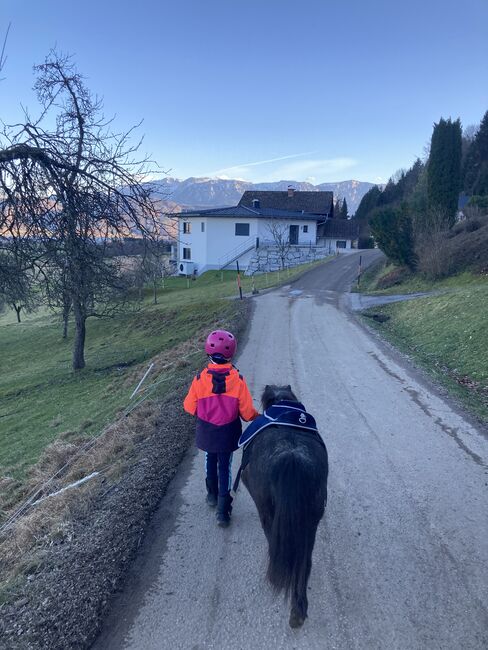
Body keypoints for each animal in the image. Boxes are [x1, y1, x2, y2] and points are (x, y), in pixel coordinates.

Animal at [241, 382, 328, 624]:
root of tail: (292, 458)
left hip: (267, 511)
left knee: (274, 541)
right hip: (311, 520)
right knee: (303, 561)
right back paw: (298, 611)